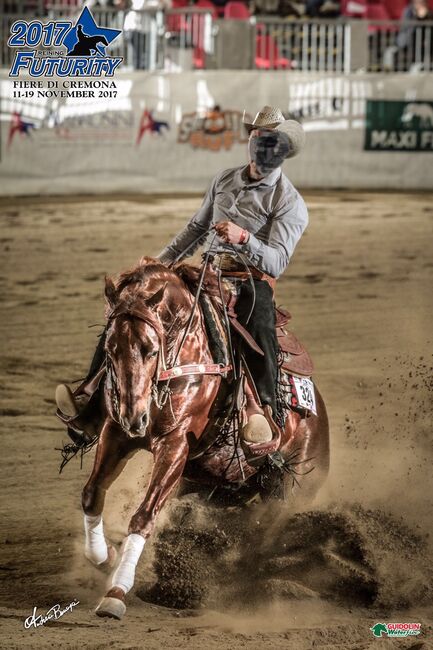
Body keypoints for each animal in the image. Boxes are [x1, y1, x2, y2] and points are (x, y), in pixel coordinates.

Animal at [82, 258, 328, 616]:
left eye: (150, 350)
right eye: (109, 349)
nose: (135, 417)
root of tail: (319, 420)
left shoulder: (176, 441)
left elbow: (144, 516)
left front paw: (116, 592)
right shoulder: (115, 433)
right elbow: (92, 494)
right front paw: (105, 556)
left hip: (291, 490)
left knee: (264, 536)